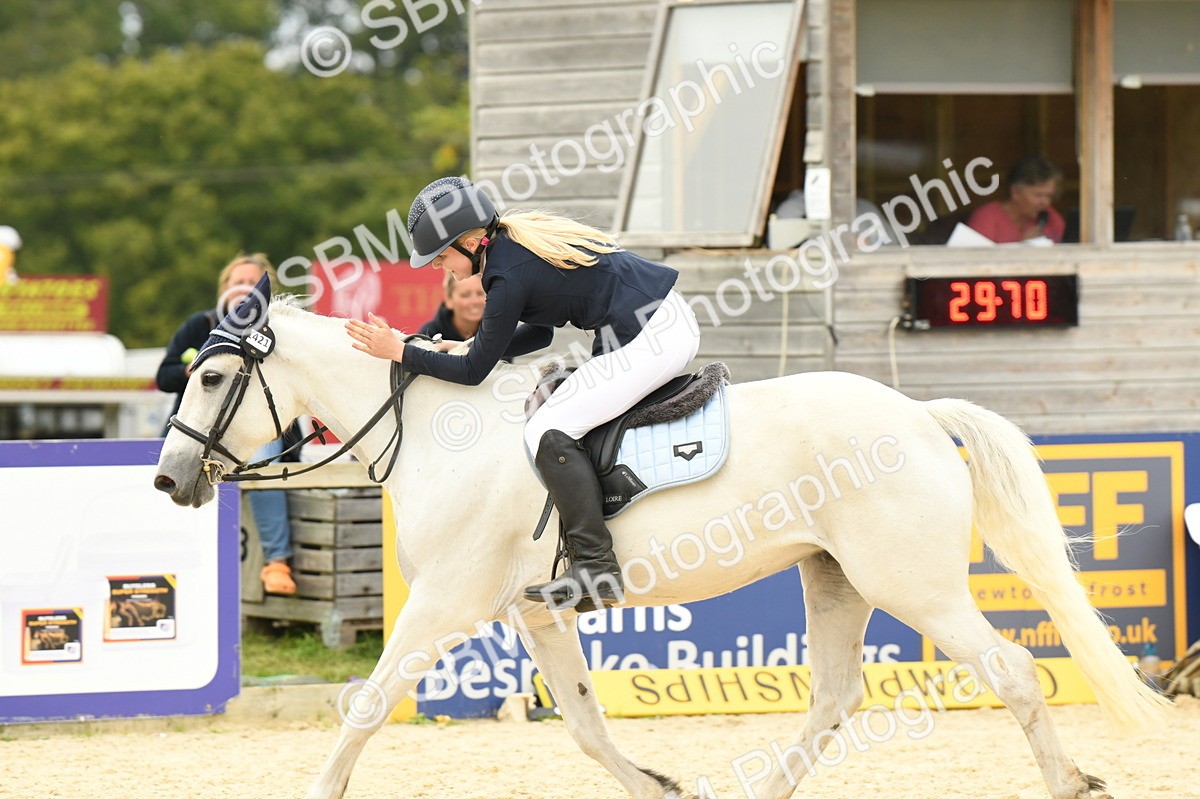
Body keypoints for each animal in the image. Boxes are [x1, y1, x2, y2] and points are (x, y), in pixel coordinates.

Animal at [153, 293, 1168, 799]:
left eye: (210, 378)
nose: (167, 480)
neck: (442, 433)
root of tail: (916, 414)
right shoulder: (536, 615)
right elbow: (588, 726)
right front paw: (659, 783)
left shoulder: (444, 605)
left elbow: (364, 706)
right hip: (835, 576)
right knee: (834, 696)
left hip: (913, 584)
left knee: (1012, 673)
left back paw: (1071, 782)